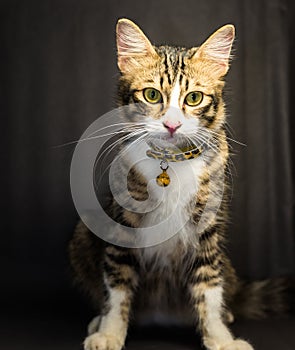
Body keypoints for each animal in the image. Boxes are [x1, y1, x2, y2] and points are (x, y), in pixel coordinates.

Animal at [69, 18, 290, 350]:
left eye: (194, 98)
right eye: (151, 95)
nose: (171, 124)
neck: (169, 161)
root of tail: (162, 314)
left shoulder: (208, 230)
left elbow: (209, 289)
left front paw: (220, 338)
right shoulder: (121, 226)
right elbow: (117, 287)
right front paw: (110, 332)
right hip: (83, 234)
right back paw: (99, 320)